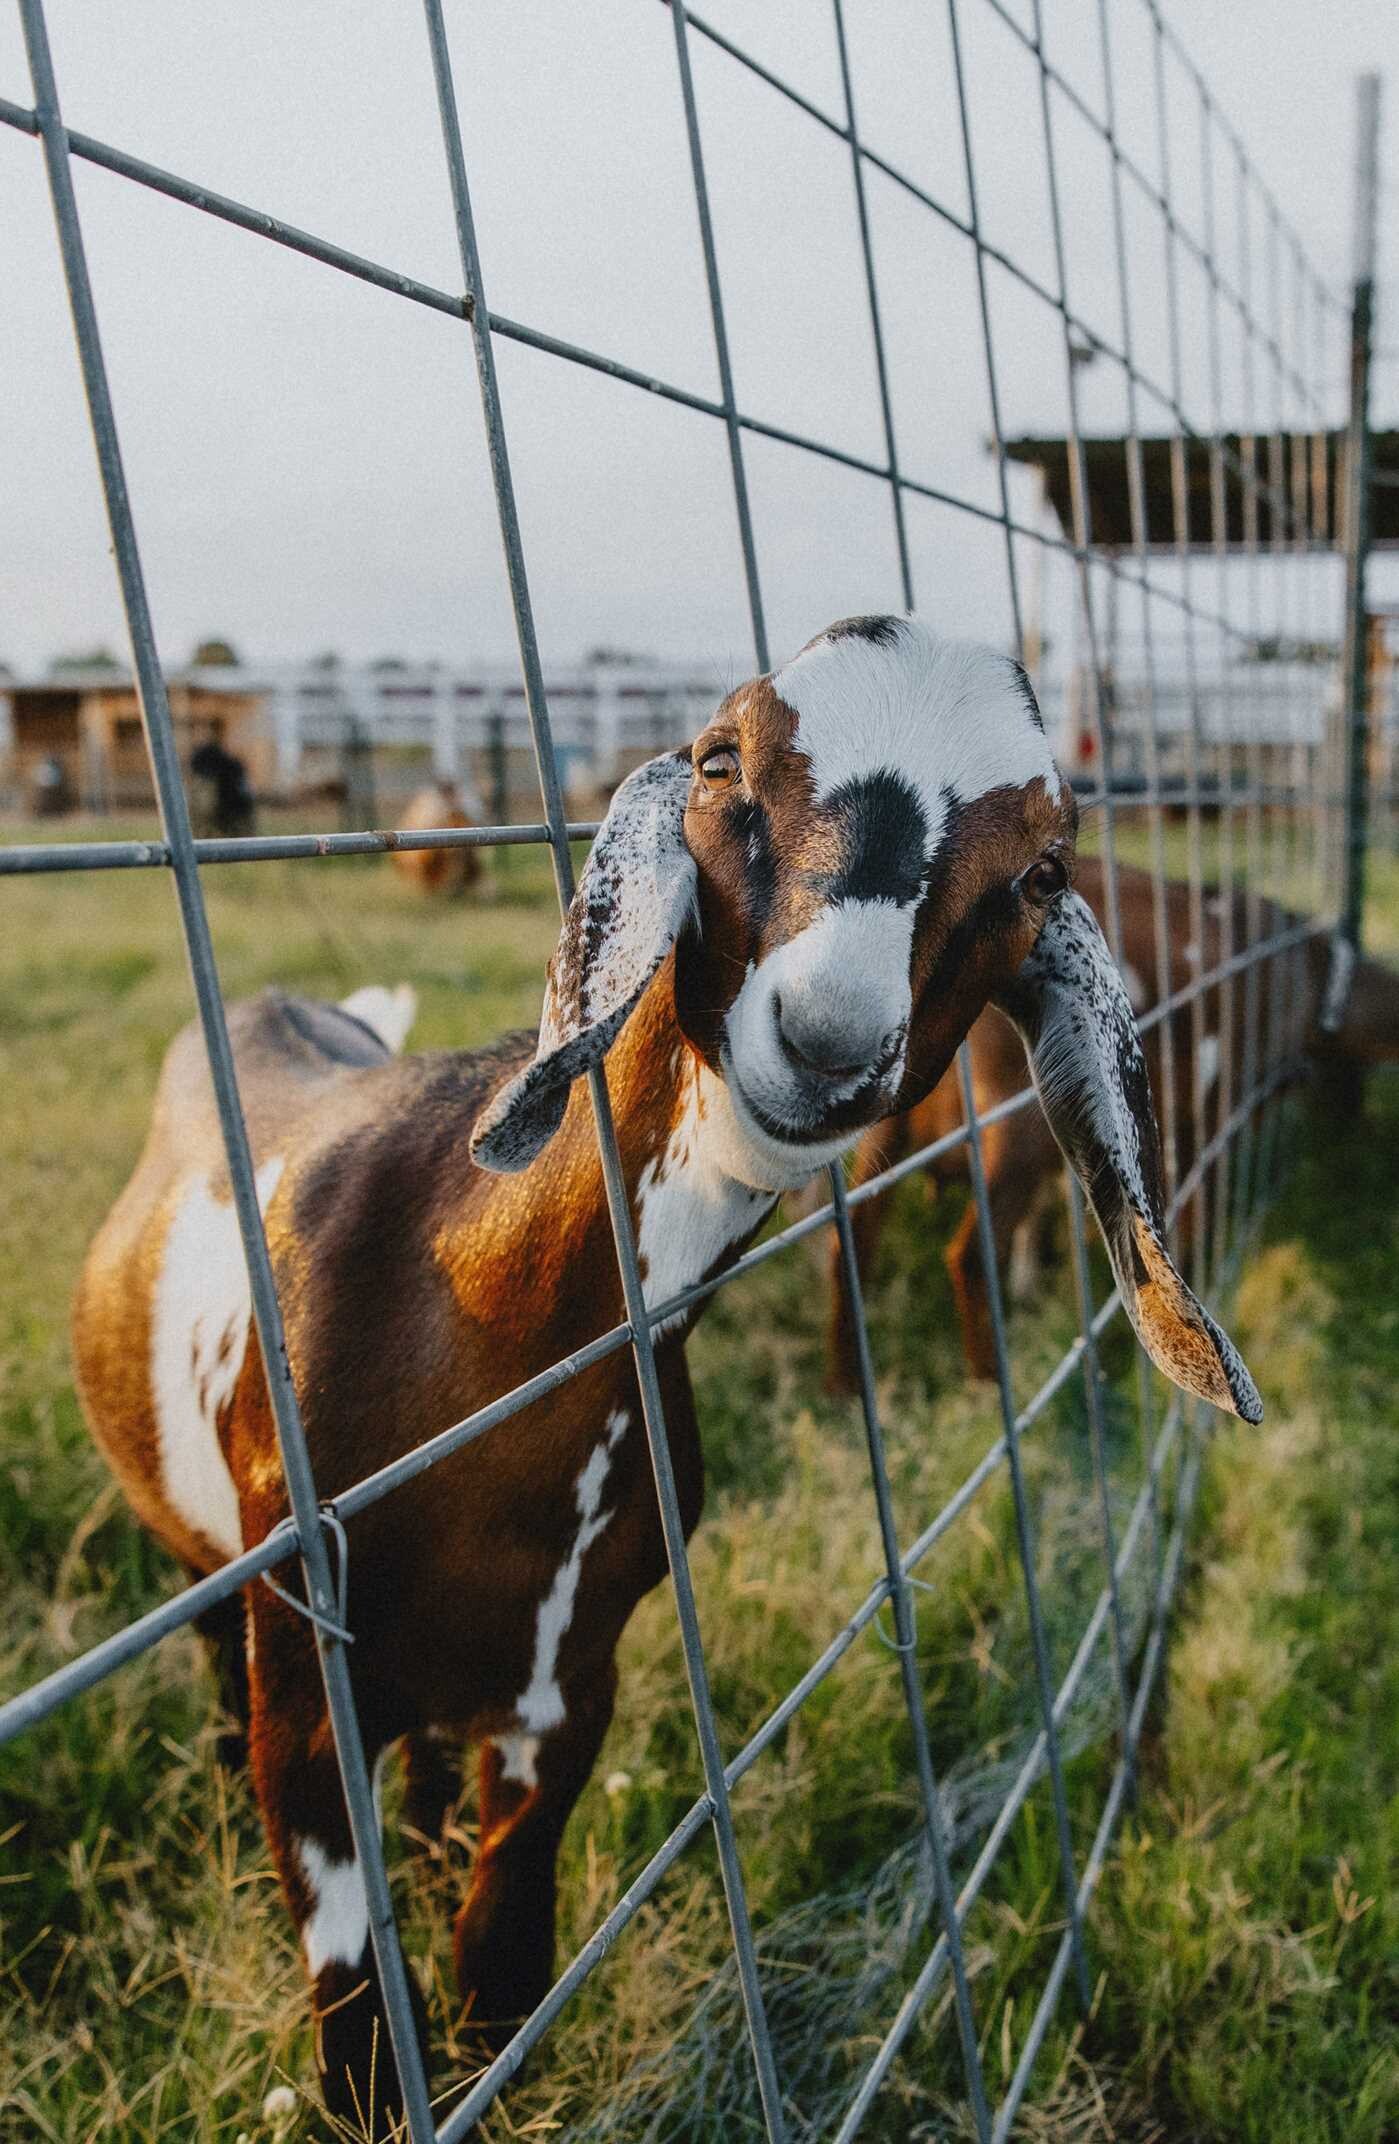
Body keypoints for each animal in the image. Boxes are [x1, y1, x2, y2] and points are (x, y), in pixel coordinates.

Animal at [71, 618, 1261, 2135]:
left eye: (1040, 870)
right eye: (717, 759)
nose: (823, 1040)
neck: (478, 1344)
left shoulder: (573, 1679)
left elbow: (501, 1959)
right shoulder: (305, 1684)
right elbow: (358, 2012)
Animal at [826, 855, 1399, 1388]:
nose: (1355, 1125)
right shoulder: (1218, 1103)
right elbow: (1198, 1195)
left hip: (892, 1114)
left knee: (855, 1234)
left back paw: (846, 1389)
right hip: (1017, 1120)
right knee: (969, 1256)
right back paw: (988, 1382)